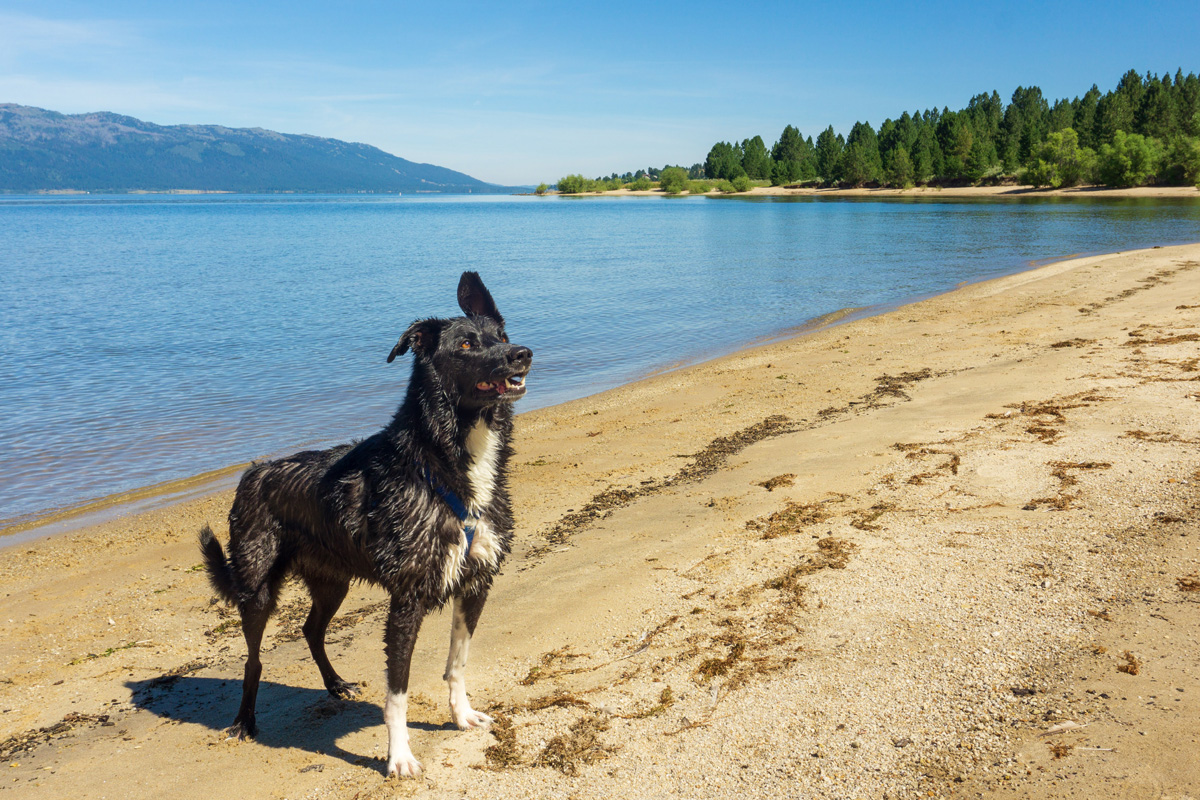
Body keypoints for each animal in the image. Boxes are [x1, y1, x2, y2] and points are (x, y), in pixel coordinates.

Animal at [201, 273, 530, 777]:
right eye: (467, 343)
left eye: (503, 336)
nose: (523, 354)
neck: (443, 463)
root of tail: (252, 473)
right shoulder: (408, 599)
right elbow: (398, 690)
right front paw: (399, 757)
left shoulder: (476, 582)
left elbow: (457, 662)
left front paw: (462, 715)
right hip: (256, 589)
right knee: (254, 659)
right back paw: (244, 721)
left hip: (331, 580)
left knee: (311, 630)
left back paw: (335, 684)